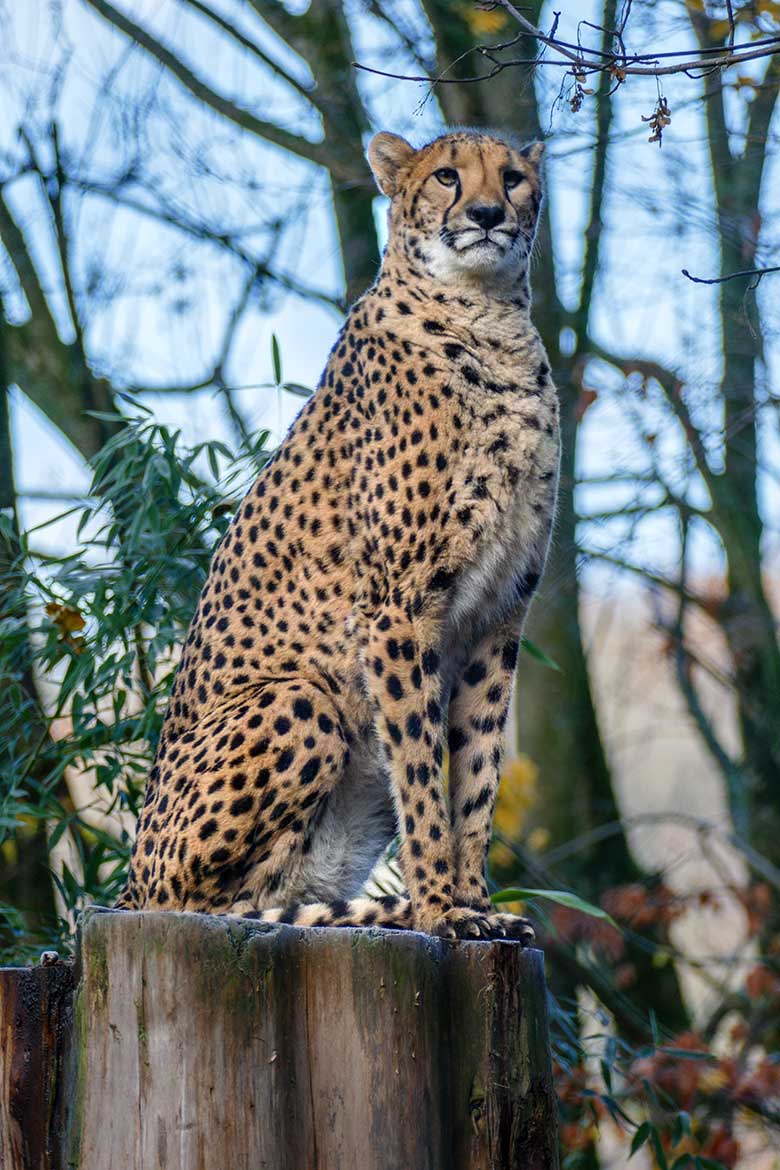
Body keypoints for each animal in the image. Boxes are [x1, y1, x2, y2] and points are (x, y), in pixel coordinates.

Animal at [115, 128, 558, 940]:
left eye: (512, 178)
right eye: (447, 177)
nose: (486, 215)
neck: (488, 319)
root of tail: (126, 886)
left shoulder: (500, 611)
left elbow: (475, 773)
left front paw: (477, 904)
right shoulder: (397, 609)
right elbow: (423, 774)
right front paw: (444, 910)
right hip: (302, 700)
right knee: (206, 903)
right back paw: (384, 909)